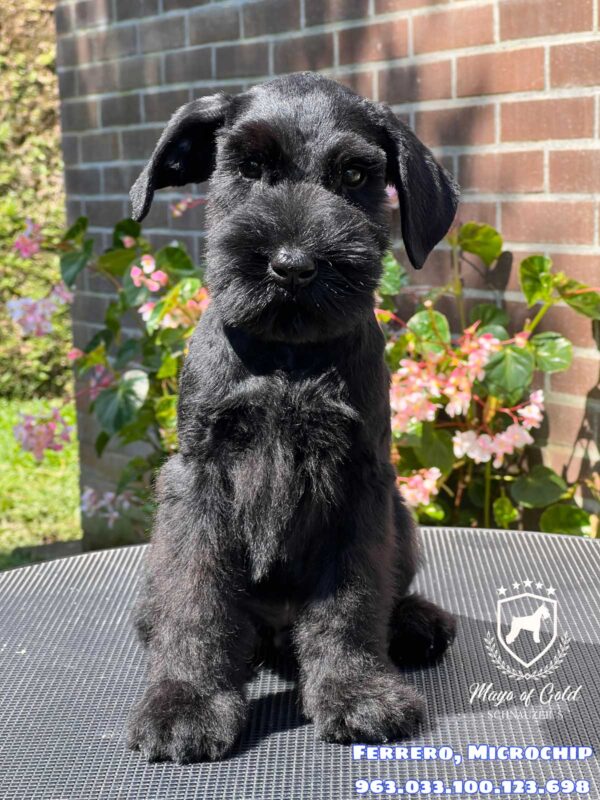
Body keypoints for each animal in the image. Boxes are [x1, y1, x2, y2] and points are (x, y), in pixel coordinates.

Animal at [126, 73, 460, 764]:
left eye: (356, 174)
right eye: (249, 168)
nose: (293, 265)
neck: (286, 353)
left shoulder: (361, 485)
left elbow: (351, 601)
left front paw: (358, 692)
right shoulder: (198, 478)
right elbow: (195, 597)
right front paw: (185, 702)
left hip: (403, 519)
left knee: (388, 592)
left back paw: (416, 622)